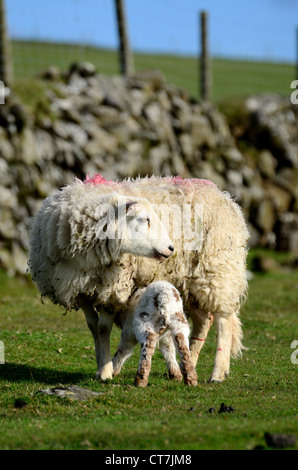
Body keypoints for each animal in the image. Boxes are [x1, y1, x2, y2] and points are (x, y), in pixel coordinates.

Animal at [29, 174, 249, 384]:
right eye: (145, 219)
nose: (171, 248)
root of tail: (224, 196)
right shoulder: (80, 289)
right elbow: (93, 328)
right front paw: (101, 365)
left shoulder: (113, 288)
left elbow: (103, 328)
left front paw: (105, 371)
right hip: (190, 283)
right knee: (204, 322)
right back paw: (190, 364)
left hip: (218, 271)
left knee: (224, 322)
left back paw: (217, 373)